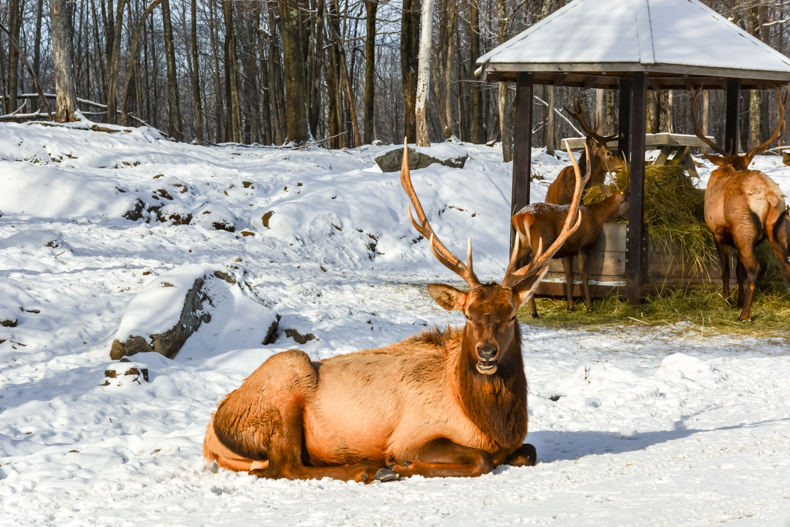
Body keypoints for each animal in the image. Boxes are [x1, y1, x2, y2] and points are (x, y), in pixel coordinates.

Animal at [203, 140, 588, 482]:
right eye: (467, 315)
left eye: (510, 314)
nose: (486, 352)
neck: (493, 425)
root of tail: (211, 435)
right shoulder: (412, 436)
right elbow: (479, 459)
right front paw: (400, 466)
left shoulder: (515, 444)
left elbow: (529, 451)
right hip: (286, 380)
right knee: (285, 466)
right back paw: (368, 469)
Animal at [512, 177, 632, 318]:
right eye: (628, 201)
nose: (630, 216)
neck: (596, 217)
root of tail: (518, 218)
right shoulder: (584, 247)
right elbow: (584, 274)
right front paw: (589, 307)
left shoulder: (567, 251)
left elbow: (569, 276)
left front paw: (570, 307)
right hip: (541, 245)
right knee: (530, 272)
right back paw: (533, 312)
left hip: (521, 246)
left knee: (514, 269)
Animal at [692, 87, 790, 322]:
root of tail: (770, 196)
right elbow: (739, 272)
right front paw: (736, 300)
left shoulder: (718, 233)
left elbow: (727, 270)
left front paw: (728, 300)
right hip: (778, 229)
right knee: (786, 263)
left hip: (742, 229)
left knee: (755, 268)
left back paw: (744, 314)